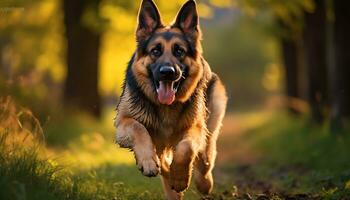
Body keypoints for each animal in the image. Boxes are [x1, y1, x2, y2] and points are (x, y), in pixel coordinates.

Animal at [115, 0, 227, 198]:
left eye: (179, 51)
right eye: (155, 51)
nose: (167, 72)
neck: (165, 107)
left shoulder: (195, 128)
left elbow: (186, 148)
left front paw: (181, 177)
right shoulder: (123, 122)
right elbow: (138, 128)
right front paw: (148, 162)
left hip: (209, 127)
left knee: (205, 156)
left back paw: (203, 182)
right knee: (165, 163)